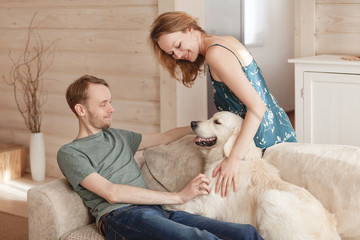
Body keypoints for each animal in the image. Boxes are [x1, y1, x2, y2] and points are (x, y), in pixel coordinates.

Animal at [166, 112, 340, 240]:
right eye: (211, 117)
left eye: (217, 122)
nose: (192, 123)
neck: (228, 157)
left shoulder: (206, 205)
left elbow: (181, 203)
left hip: (269, 197)